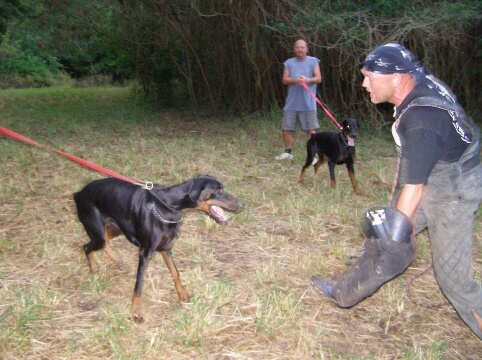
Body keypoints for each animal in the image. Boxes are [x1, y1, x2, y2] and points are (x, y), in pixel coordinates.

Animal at [74, 175, 243, 324]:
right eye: (218, 190)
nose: (241, 205)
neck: (169, 204)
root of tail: (79, 193)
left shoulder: (166, 248)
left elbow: (175, 273)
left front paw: (183, 295)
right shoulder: (145, 252)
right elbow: (138, 287)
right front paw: (135, 313)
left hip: (116, 227)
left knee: (104, 242)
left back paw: (115, 257)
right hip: (99, 231)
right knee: (88, 246)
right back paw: (94, 267)